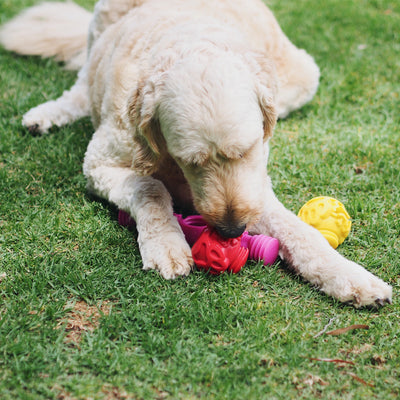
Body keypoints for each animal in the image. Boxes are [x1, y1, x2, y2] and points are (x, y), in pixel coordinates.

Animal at [0, 0, 392, 308]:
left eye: (248, 150)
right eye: (192, 161)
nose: (232, 230)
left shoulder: (255, 187)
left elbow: (299, 231)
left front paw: (350, 276)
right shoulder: (100, 163)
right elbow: (150, 187)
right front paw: (166, 243)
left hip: (302, 76)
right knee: (82, 84)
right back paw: (46, 114)